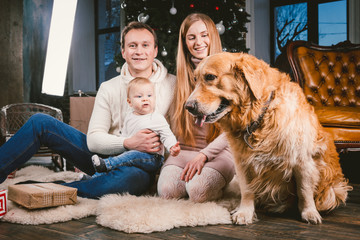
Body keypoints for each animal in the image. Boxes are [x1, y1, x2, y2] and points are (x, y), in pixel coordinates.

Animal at [186, 52, 352, 225]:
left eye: (210, 77)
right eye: (195, 79)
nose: (188, 107)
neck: (260, 115)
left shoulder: (302, 160)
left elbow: (304, 190)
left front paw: (309, 212)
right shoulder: (242, 162)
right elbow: (247, 190)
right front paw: (244, 212)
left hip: (332, 192)